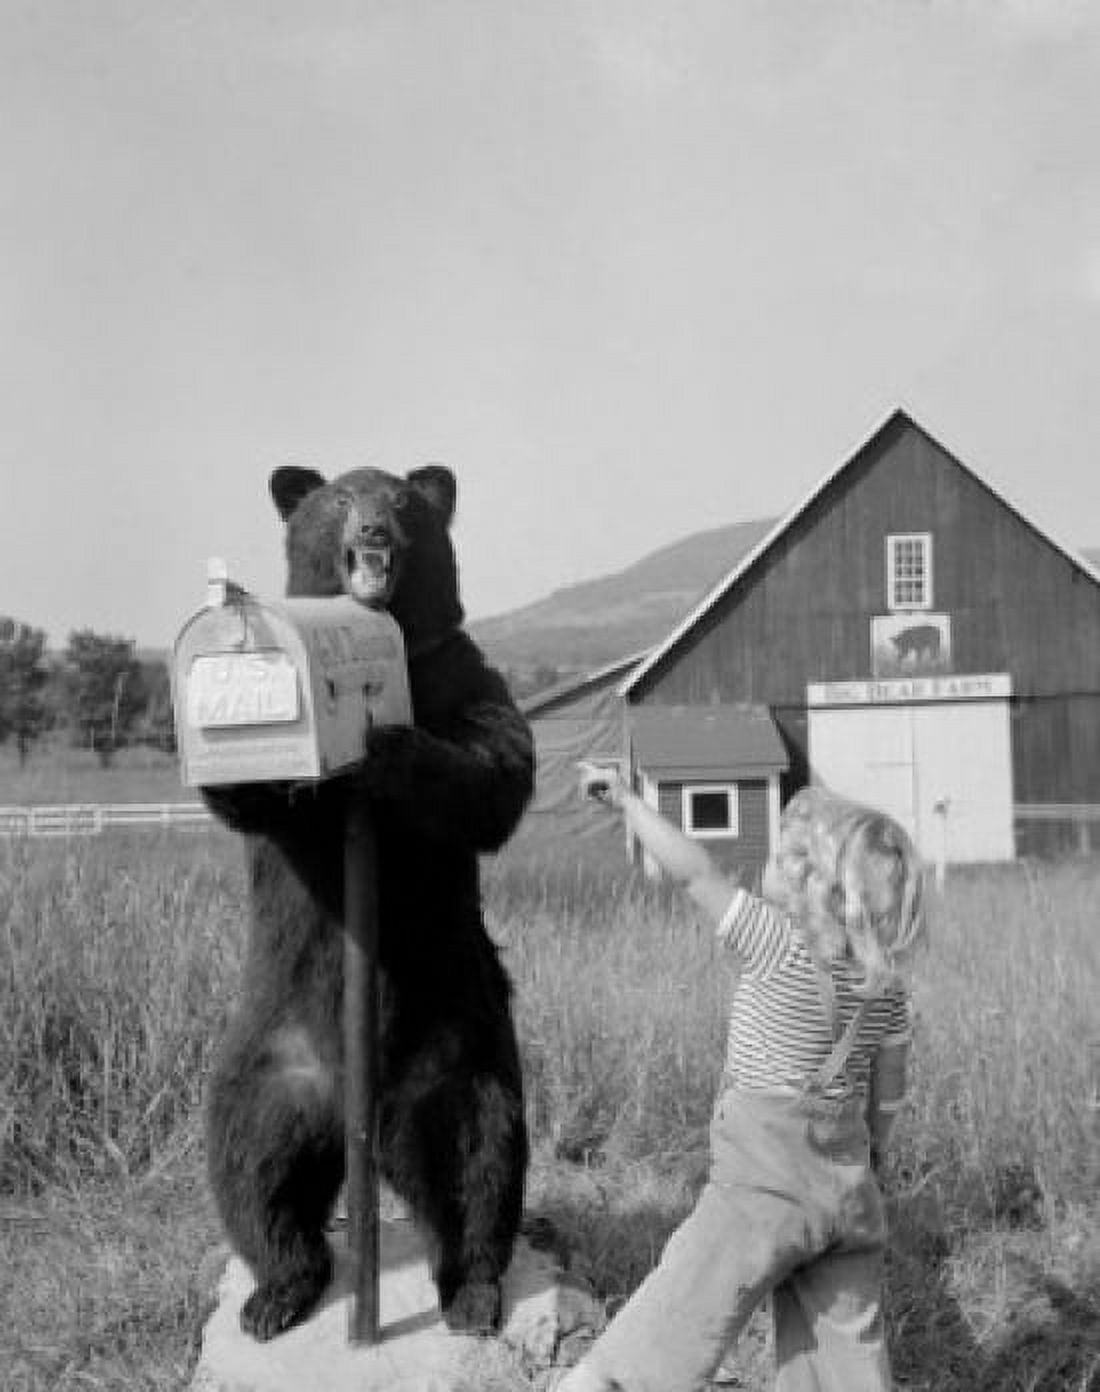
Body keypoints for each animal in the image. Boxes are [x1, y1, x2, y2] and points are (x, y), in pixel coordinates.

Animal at [201, 463, 534, 1341]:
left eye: (403, 501)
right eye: (342, 501)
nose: (376, 531)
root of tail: (356, 1118)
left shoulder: (459, 672)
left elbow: (493, 762)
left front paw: (390, 744)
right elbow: (261, 801)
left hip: (458, 1049)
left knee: (477, 1158)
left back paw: (473, 1294)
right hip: (268, 1059)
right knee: (251, 1165)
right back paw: (276, 1293)